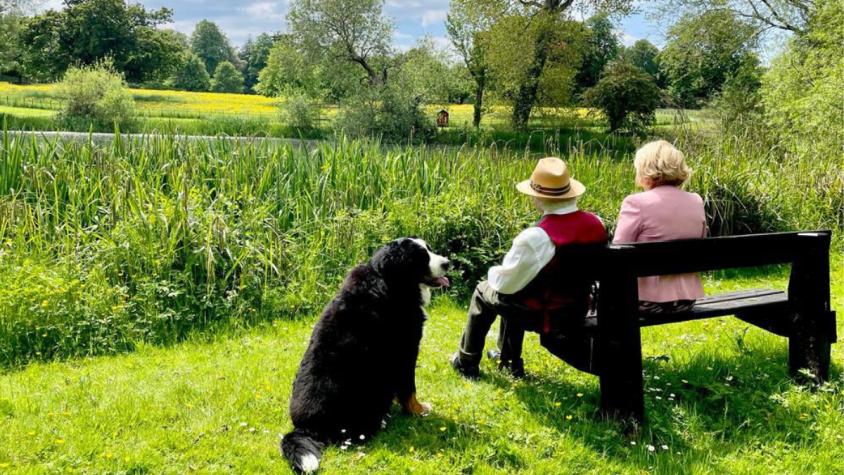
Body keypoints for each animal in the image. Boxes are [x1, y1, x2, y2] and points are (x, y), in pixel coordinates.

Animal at [280, 238, 452, 472]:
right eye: (422, 256)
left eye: (430, 249)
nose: (448, 263)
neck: (390, 282)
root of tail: (305, 428)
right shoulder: (406, 351)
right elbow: (409, 390)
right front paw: (418, 410)